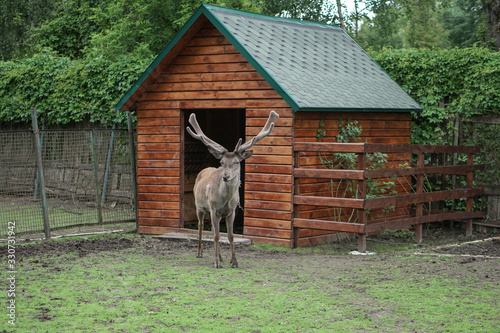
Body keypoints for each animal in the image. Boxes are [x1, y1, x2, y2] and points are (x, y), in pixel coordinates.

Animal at [187, 111, 280, 268]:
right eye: (222, 162)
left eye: (236, 162)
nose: (225, 176)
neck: (225, 200)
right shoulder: (213, 208)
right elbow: (217, 236)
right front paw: (216, 263)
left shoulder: (231, 211)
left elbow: (230, 236)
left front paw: (234, 261)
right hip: (199, 205)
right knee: (201, 226)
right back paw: (200, 252)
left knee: (213, 228)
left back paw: (220, 256)